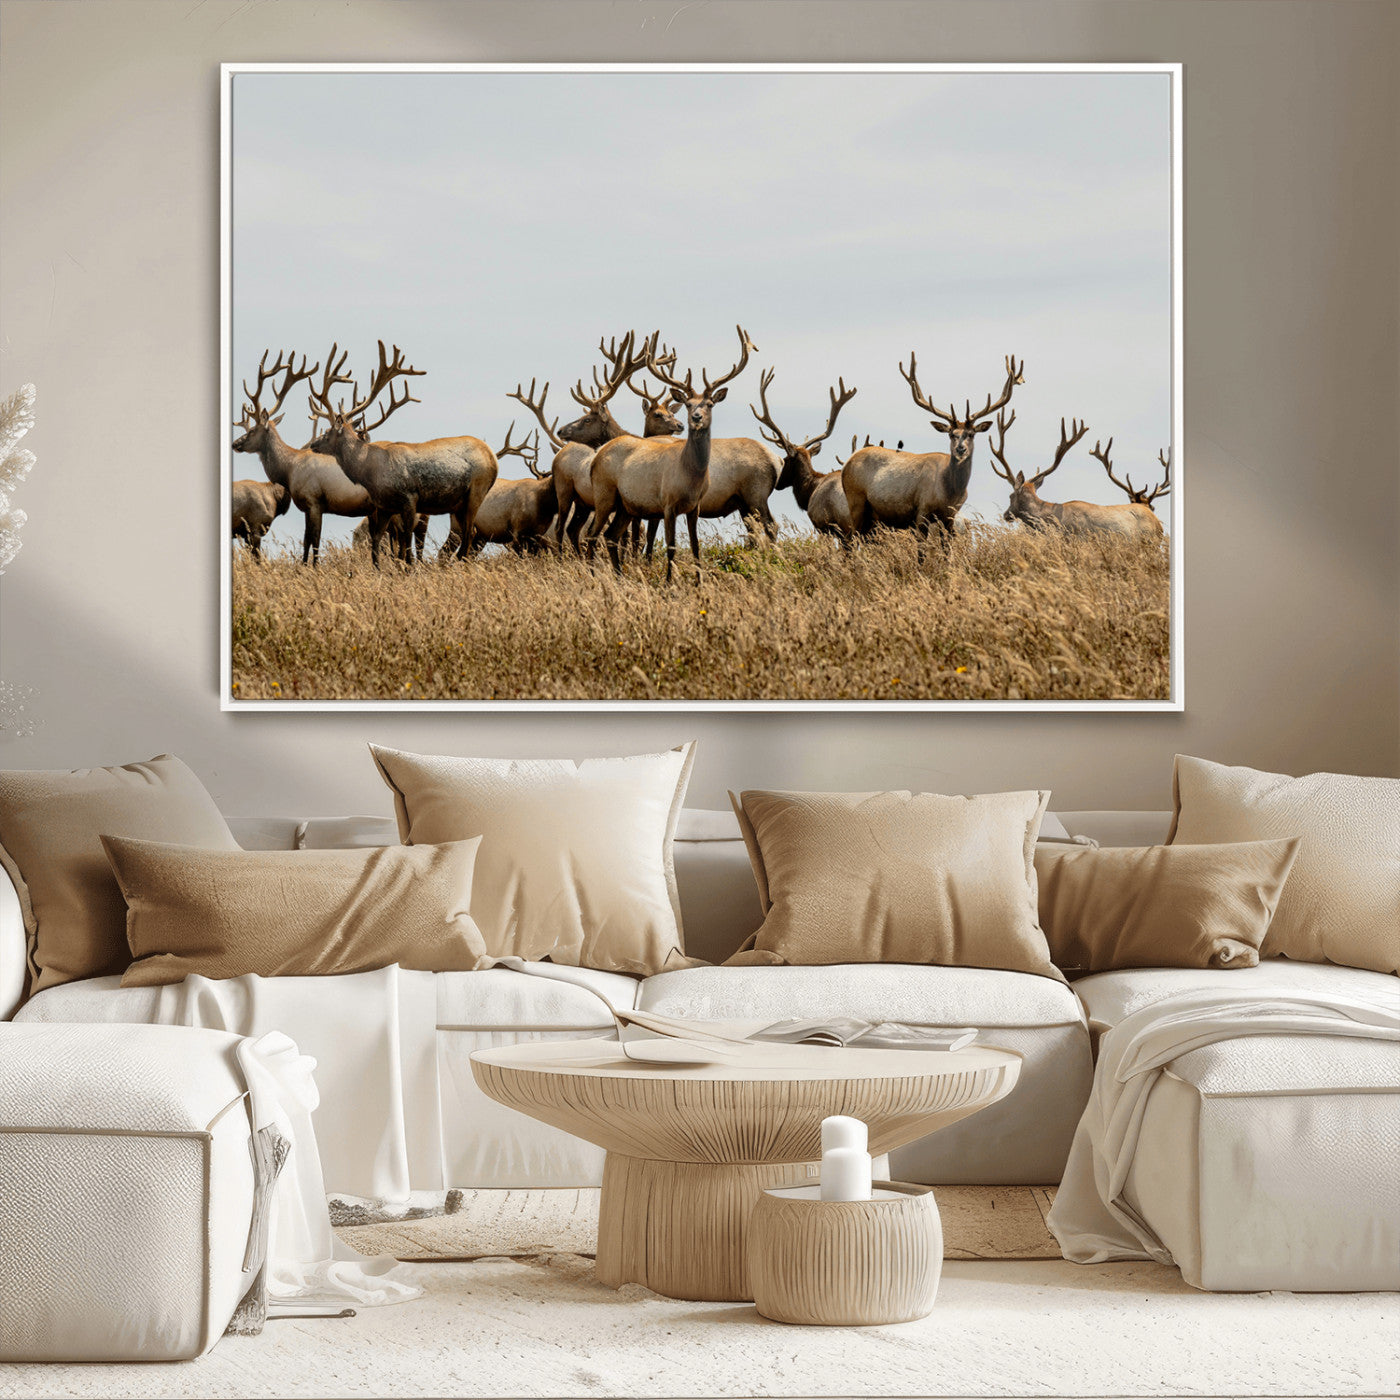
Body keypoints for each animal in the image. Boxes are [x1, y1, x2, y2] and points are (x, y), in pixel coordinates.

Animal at [307, 341, 497, 567]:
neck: (370, 472)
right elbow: (377, 542)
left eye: (327, 432)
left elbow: (405, 544)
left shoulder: (409, 497)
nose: (313, 444)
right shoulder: (385, 506)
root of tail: (493, 457)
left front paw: (408, 569)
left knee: (468, 535)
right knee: (469, 536)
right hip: (458, 504)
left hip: (476, 490)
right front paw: (379, 569)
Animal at [584, 325, 757, 583]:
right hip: (604, 493)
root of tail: (596, 456)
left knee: (611, 536)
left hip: (626, 505)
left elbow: (695, 546)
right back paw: (594, 576)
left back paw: (619, 576)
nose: (696, 418)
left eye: (710, 404)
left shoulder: (695, 507)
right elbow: (671, 546)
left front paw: (699, 582)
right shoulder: (667, 503)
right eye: (688, 404)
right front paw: (669, 583)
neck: (690, 477)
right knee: (593, 534)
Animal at [842, 353, 1023, 550]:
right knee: (850, 541)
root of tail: (847, 462)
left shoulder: (949, 517)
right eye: (951, 434)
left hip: (873, 516)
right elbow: (921, 549)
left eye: (971, 434)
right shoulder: (922, 510)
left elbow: (947, 550)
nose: (961, 449)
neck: (949, 493)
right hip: (855, 501)